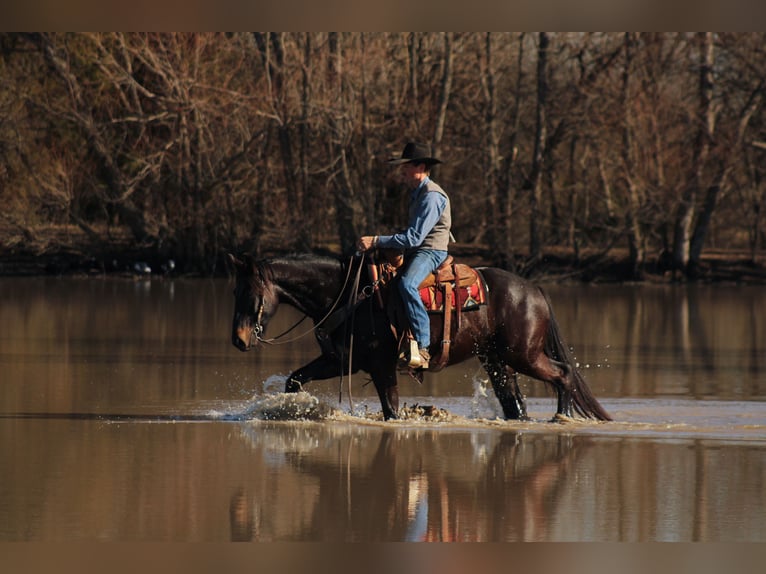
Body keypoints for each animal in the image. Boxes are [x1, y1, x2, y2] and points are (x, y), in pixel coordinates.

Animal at [229, 252, 611, 422]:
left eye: (250, 294)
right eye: (235, 291)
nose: (239, 340)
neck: (347, 295)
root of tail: (534, 291)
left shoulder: (381, 366)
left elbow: (391, 410)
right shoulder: (340, 361)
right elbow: (295, 380)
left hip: (524, 355)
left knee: (563, 374)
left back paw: (562, 417)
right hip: (498, 360)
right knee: (514, 402)